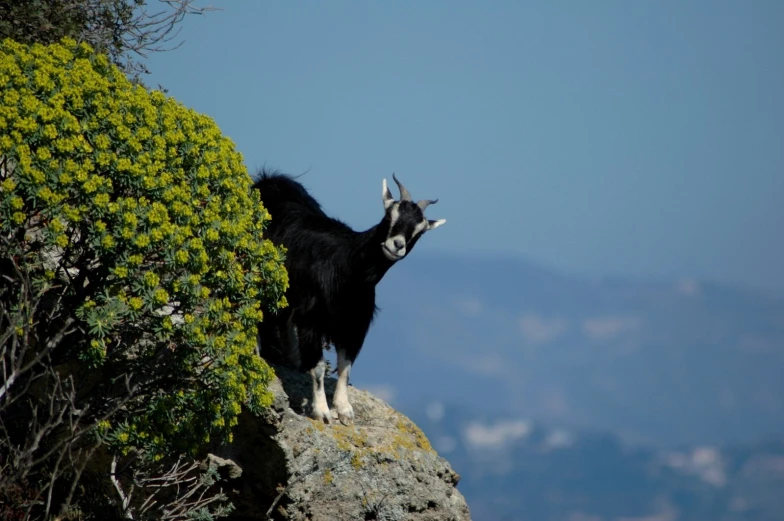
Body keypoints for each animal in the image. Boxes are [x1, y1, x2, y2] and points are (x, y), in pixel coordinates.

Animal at [254, 171, 444, 422]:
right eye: (389, 215)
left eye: (420, 231)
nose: (397, 246)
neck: (345, 267)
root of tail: (268, 180)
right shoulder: (312, 317)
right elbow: (318, 367)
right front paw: (322, 411)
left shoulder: (354, 325)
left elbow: (346, 366)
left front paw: (344, 409)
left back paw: (293, 358)